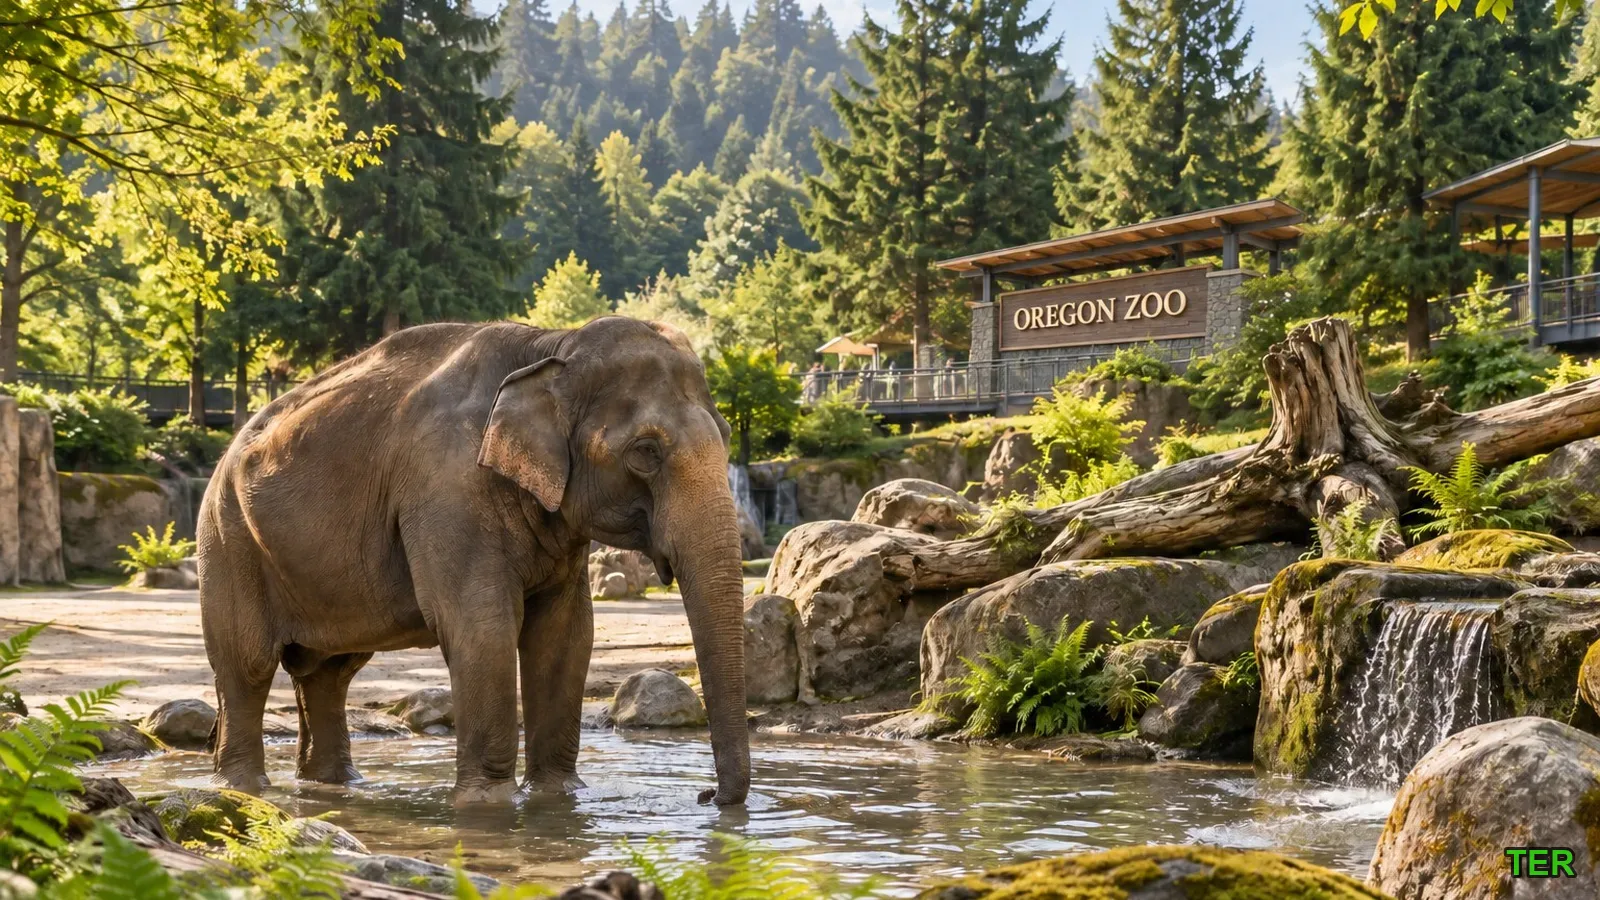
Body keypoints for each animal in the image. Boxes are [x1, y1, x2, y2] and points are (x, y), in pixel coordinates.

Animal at [197, 317, 749, 806]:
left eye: (726, 435)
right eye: (645, 451)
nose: (706, 795)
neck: (551, 345)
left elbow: (566, 636)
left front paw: (558, 798)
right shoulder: (446, 489)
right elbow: (482, 627)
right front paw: (488, 806)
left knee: (328, 673)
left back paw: (332, 787)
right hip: (226, 539)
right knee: (248, 666)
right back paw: (244, 789)